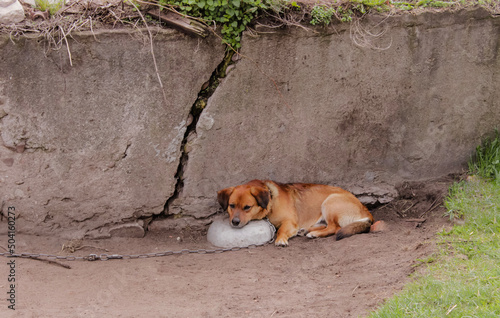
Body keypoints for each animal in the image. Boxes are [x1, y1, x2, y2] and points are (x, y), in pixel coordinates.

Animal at [217, 179, 380, 246]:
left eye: (247, 207)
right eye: (231, 205)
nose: (235, 222)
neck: (271, 200)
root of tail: (366, 212)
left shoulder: (289, 222)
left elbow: (281, 230)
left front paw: (281, 239)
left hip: (330, 202)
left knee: (335, 228)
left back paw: (314, 234)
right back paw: (307, 230)